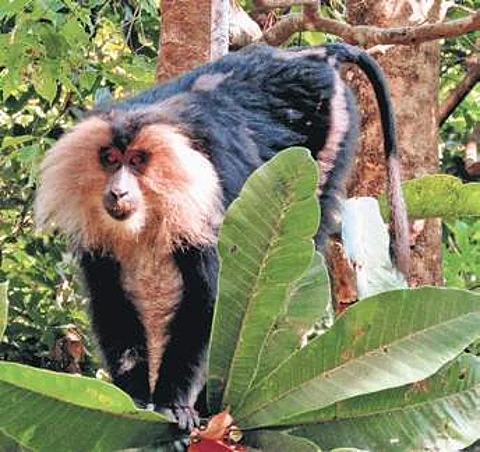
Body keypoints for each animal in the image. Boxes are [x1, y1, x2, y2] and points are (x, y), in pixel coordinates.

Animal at [34, 44, 408, 432]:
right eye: (109, 159)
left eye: (137, 161)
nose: (118, 192)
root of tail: (312, 54)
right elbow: (112, 303)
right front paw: (136, 399)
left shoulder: (203, 207)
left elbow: (205, 300)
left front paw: (174, 405)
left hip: (330, 125)